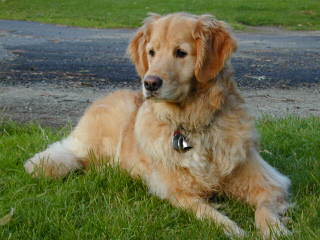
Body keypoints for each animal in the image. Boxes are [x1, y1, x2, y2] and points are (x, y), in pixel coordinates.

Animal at [23, 12, 292, 238]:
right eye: (151, 52)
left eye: (181, 52)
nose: (150, 83)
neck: (193, 125)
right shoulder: (175, 190)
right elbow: (206, 211)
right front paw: (231, 228)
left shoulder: (270, 182)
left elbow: (265, 209)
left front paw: (275, 230)